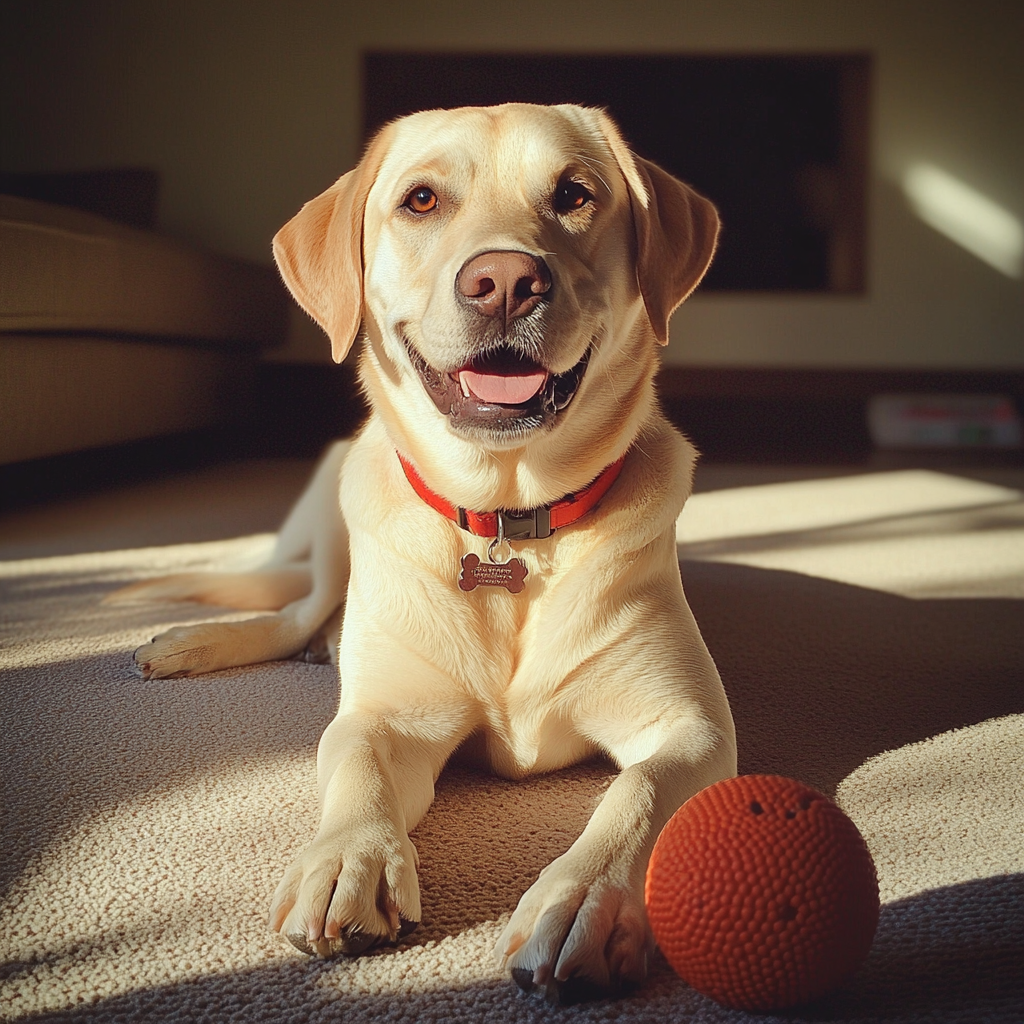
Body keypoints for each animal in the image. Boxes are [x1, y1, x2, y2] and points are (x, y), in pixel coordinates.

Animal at [110, 105, 737, 1007]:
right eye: (421, 200)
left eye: (575, 194)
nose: (506, 280)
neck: (506, 515)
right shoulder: (390, 717)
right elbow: (358, 765)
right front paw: (350, 859)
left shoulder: (692, 728)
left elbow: (640, 794)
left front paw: (586, 897)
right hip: (337, 503)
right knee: (294, 610)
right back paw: (200, 643)